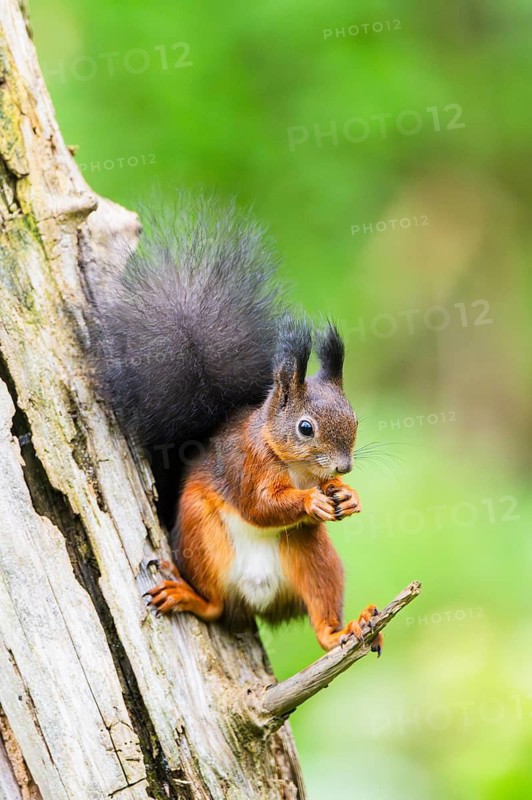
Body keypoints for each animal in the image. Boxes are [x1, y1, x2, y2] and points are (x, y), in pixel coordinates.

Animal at [92, 198, 382, 654]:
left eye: (354, 419)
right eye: (305, 428)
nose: (345, 467)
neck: (296, 466)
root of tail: (255, 598)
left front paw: (348, 496)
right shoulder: (246, 464)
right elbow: (259, 505)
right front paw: (311, 501)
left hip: (313, 554)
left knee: (320, 620)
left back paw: (347, 627)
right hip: (200, 537)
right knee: (213, 606)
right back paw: (187, 595)